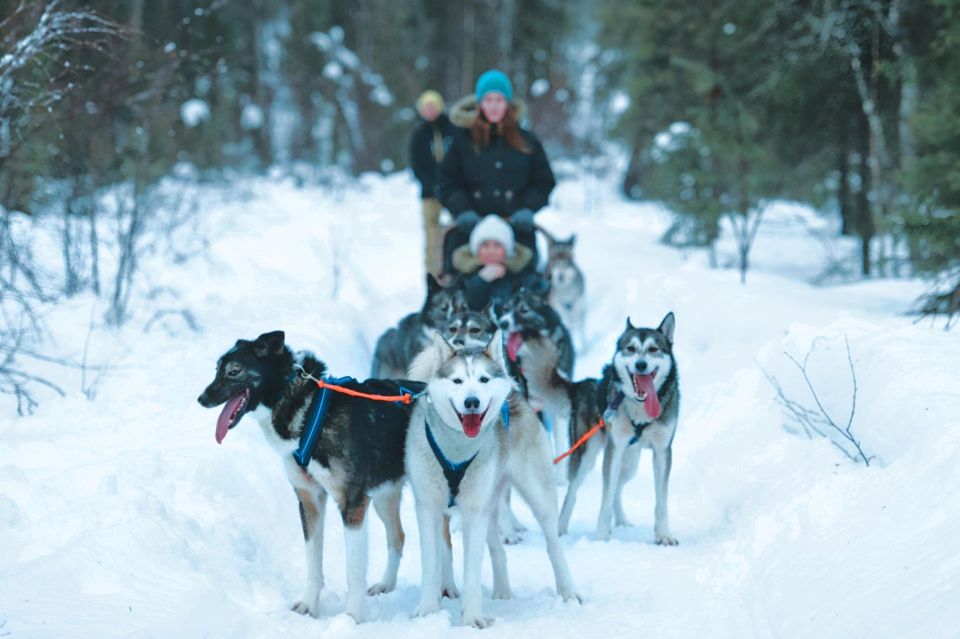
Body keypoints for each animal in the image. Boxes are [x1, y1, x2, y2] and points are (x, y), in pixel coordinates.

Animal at [198, 332, 416, 624]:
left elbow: (354, 572)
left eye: (234, 372)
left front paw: (352, 618)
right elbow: (313, 563)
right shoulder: (309, 499)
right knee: (398, 537)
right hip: (385, 496)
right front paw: (308, 605)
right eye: (217, 370)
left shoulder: (352, 505)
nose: (201, 398)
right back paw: (387, 585)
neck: (310, 412)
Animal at [404, 336, 576, 632]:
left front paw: (472, 618)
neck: (456, 451)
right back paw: (503, 591)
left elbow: (472, 572)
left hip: (536, 496)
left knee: (553, 545)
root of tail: (514, 394)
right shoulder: (429, 507)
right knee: (497, 549)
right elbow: (430, 565)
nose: (472, 401)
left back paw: (568, 591)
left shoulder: (473, 511)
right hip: (489, 504)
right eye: (458, 381)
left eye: (483, 379)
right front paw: (427, 612)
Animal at [520, 316, 680, 544]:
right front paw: (601, 538)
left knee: (617, 489)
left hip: (630, 462)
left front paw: (664, 535)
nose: (641, 364)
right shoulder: (614, 450)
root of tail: (583, 385)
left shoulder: (662, 452)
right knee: (573, 493)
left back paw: (621, 521)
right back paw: (560, 529)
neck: (640, 410)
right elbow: (605, 499)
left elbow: (660, 501)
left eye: (653, 349)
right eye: (630, 349)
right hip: (586, 456)